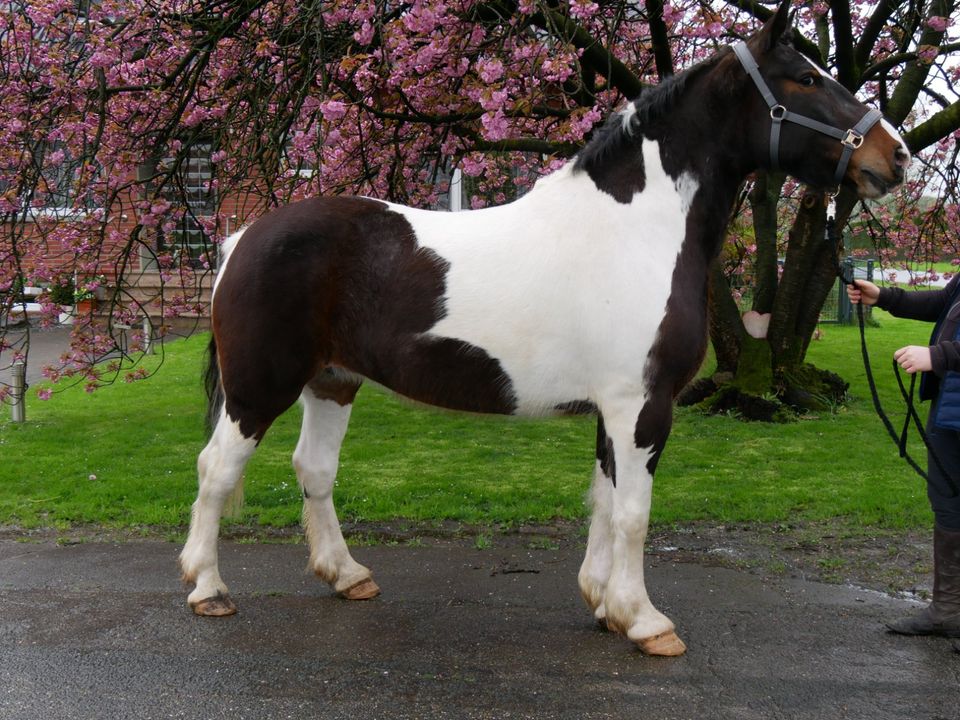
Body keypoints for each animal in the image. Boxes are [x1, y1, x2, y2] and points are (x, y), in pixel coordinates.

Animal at [178, 4, 908, 660]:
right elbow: (634, 512)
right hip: (259, 388)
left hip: (332, 381)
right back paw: (207, 589)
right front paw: (646, 621)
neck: (635, 228)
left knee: (315, 469)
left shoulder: (616, 409)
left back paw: (348, 575)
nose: (894, 156)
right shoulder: (642, 406)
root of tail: (241, 239)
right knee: (216, 468)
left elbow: (604, 501)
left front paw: (606, 605)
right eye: (805, 79)